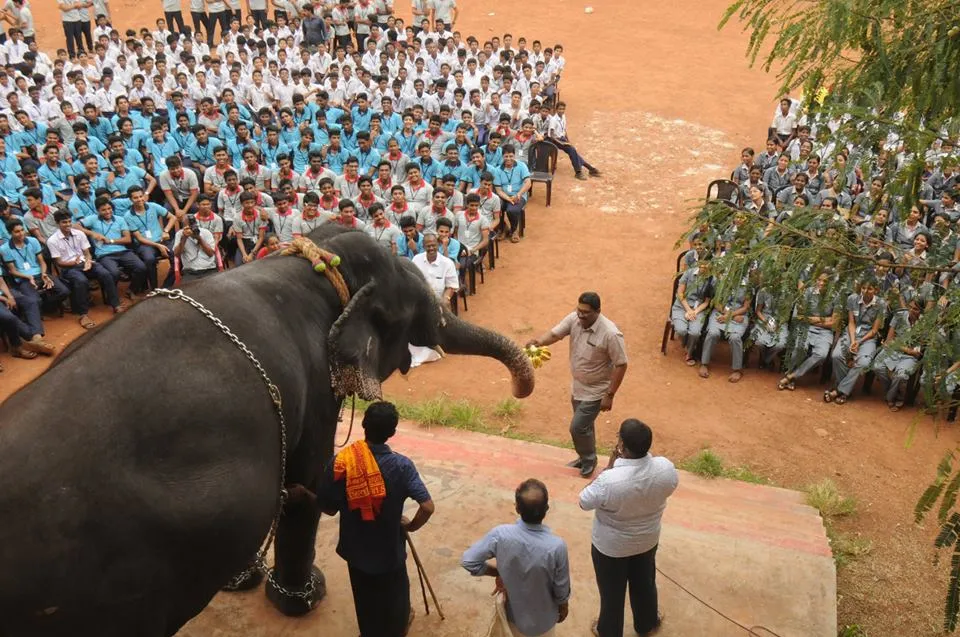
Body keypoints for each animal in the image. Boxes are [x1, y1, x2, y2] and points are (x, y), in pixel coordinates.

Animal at [0, 225, 535, 637]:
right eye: (415, 311)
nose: (520, 388)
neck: (315, 266)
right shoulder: (315, 383)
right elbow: (310, 482)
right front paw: (304, 597)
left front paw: (242, 579)